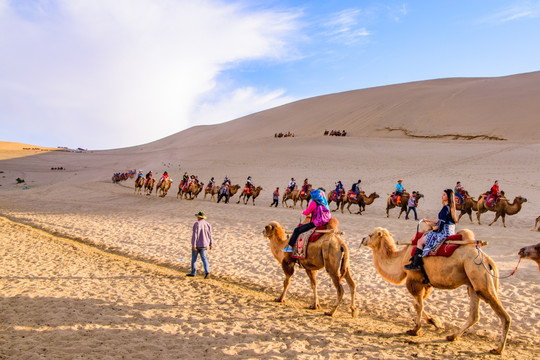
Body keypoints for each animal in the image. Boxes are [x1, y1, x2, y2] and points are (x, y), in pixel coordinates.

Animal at [362, 228, 510, 354]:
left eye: (371, 235)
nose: (363, 239)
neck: (401, 259)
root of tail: (487, 259)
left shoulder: (414, 279)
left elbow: (418, 305)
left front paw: (415, 330)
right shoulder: (425, 283)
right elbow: (418, 304)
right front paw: (434, 322)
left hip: (479, 275)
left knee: (503, 316)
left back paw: (498, 349)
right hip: (473, 284)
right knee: (474, 315)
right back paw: (452, 336)